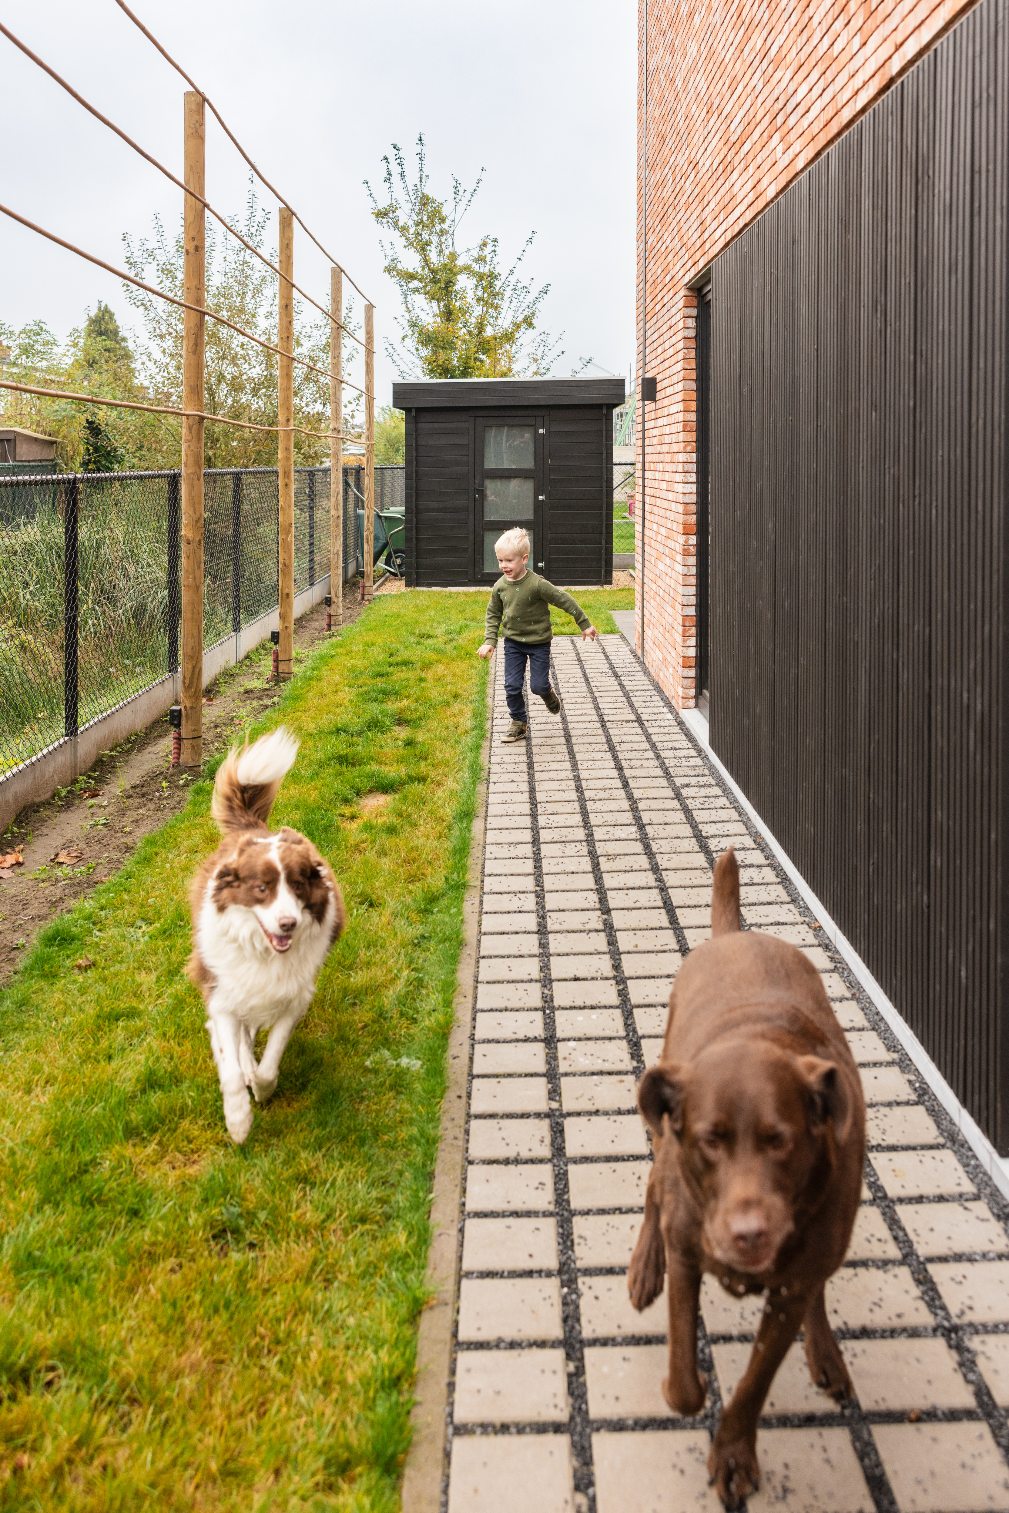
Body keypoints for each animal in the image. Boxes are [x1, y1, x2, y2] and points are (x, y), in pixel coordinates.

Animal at [187, 726, 344, 1137]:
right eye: (261, 889)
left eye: (299, 885)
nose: (288, 924)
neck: (264, 951)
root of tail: (251, 829)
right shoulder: (222, 996)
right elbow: (229, 1066)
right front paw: (239, 1121)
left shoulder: (294, 998)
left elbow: (270, 1064)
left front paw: (260, 1087)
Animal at [626, 847, 865, 1506]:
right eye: (711, 1140)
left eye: (781, 1140)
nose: (748, 1233)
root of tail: (736, 935)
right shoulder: (689, 1250)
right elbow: (685, 1381)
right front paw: (682, 1389)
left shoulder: (792, 1285)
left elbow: (757, 1381)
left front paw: (733, 1453)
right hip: (661, 1122)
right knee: (653, 1187)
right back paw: (643, 1268)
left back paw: (825, 1352)